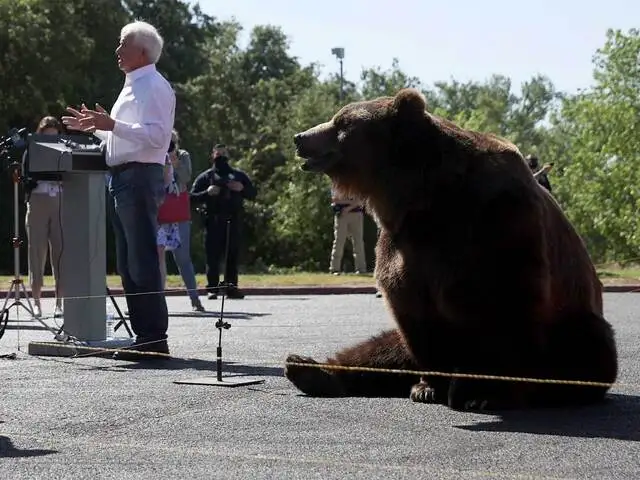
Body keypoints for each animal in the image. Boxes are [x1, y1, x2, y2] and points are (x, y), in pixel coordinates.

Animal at [284, 88, 618, 411]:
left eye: (342, 123)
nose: (300, 137)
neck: (423, 197)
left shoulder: (498, 223)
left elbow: (507, 308)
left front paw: (486, 394)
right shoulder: (404, 244)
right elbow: (413, 312)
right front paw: (429, 386)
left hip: (574, 329)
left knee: (582, 349)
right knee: (383, 348)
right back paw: (307, 368)